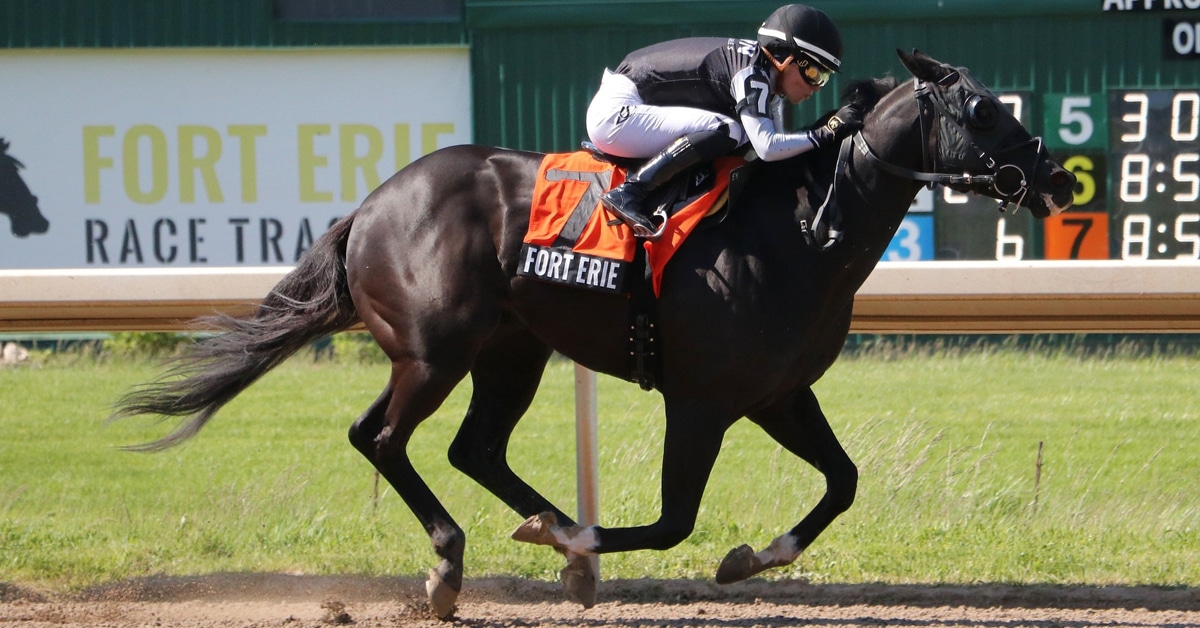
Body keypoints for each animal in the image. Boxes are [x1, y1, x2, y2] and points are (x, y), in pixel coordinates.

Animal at [113, 50, 1075, 618]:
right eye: (984, 111)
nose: (1059, 176)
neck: (804, 227)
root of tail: (373, 205)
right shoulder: (702, 399)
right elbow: (673, 521)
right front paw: (580, 551)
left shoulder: (778, 393)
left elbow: (841, 483)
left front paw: (750, 557)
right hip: (434, 350)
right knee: (381, 437)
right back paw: (452, 564)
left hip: (512, 350)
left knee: (470, 448)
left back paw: (530, 525)